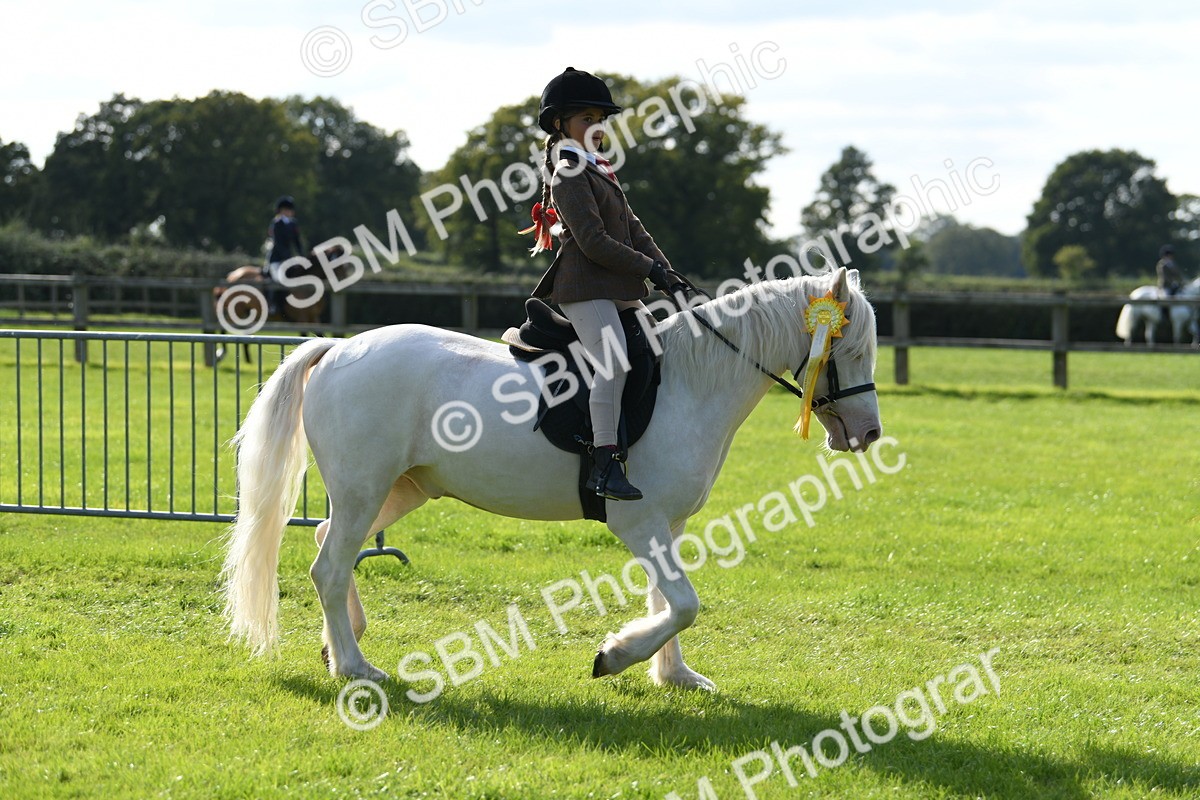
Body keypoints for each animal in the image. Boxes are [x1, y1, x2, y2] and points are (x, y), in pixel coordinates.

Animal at [220, 267, 882, 692]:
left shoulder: (668, 524)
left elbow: (668, 598)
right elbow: (685, 602)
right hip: (366, 488)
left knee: (326, 542)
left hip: (400, 488)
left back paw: (341, 645)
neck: (692, 381)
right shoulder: (639, 519)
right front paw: (615, 656)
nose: (869, 433)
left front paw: (674, 675)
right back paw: (356, 668)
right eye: (848, 350)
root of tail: (337, 349)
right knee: (329, 566)